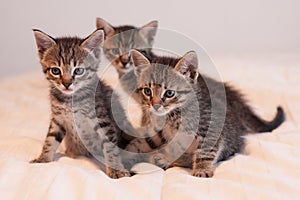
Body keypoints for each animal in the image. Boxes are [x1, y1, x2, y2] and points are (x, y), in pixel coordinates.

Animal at [29, 28, 134, 179]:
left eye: (78, 70)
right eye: (55, 70)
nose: (67, 83)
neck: (71, 100)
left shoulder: (103, 120)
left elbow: (110, 147)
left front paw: (116, 170)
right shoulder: (58, 120)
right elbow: (50, 140)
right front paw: (43, 159)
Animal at [125, 49, 284, 177]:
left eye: (169, 93)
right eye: (147, 91)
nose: (155, 106)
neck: (172, 116)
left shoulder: (213, 125)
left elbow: (205, 151)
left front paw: (202, 169)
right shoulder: (157, 130)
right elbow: (142, 140)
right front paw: (127, 152)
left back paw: (164, 159)